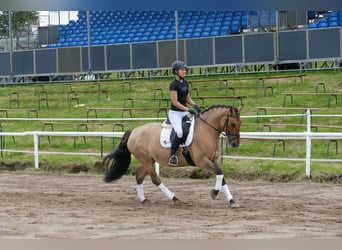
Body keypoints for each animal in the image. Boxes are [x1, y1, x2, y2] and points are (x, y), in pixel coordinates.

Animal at [103, 102, 242, 208]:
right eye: (233, 124)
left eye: (240, 123)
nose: (235, 144)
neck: (206, 130)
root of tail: (134, 131)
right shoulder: (201, 160)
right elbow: (218, 172)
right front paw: (214, 193)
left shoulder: (216, 159)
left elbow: (221, 176)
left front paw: (232, 201)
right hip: (146, 159)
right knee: (155, 179)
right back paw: (174, 198)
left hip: (149, 160)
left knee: (139, 177)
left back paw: (143, 200)